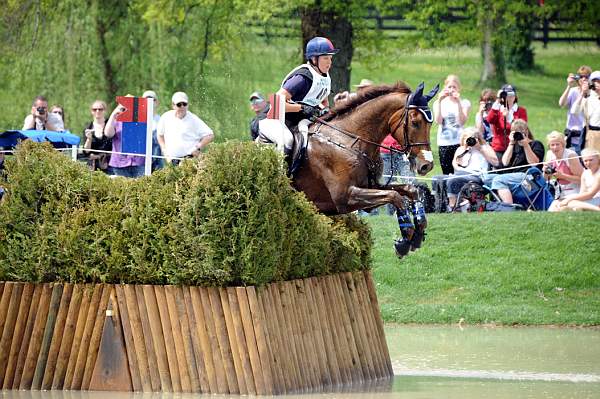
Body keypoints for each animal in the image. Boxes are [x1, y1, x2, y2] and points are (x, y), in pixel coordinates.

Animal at [292, 82, 438, 258]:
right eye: (415, 122)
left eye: (431, 123)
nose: (427, 165)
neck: (348, 141)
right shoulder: (345, 198)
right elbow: (395, 197)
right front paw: (405, 238)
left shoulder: (371, 187)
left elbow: (410, 190)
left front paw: (417, 233)